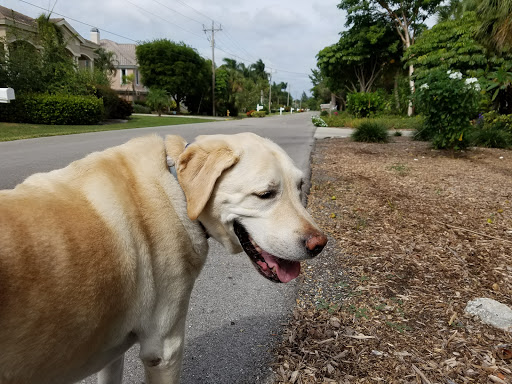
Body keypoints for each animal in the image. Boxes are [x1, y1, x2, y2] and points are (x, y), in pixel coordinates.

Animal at [0, 133, 326, 384]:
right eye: (265, 194)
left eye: (300, 187)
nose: (320, 244)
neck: (178, 190)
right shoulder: (165, 350)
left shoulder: (111, 353)